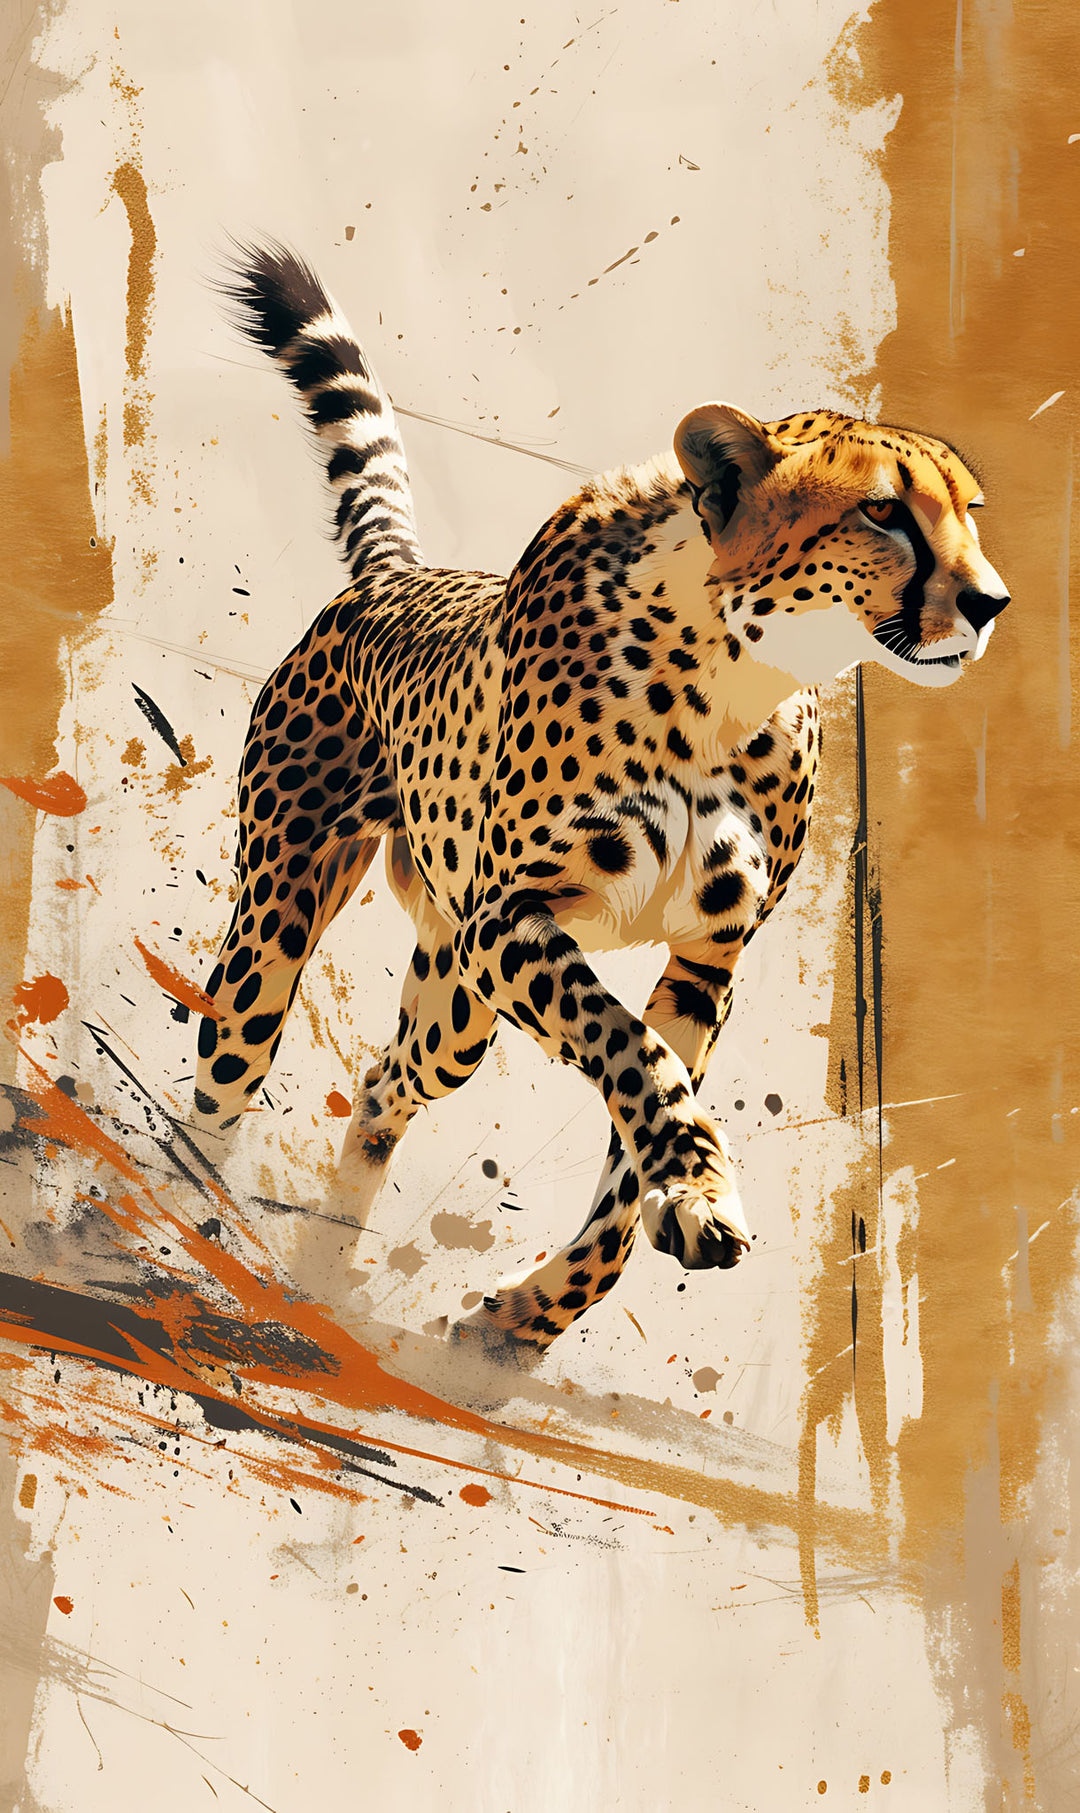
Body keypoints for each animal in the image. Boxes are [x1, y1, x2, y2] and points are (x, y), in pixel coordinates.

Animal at [193, 241, 1009, 1351]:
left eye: (969, 512)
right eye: (883, 510)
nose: (990, 601)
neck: (734, 677)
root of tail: (393, 577)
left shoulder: (708, 958)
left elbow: (641, 1135)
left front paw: (540, 1310)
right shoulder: (512, 919)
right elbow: (631, 1052)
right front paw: (691, 1190)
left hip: (455, 1006)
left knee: (387, 1080)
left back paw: (323, 1263)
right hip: (286, 928)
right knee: (223, 1078)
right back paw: (185, 1220)